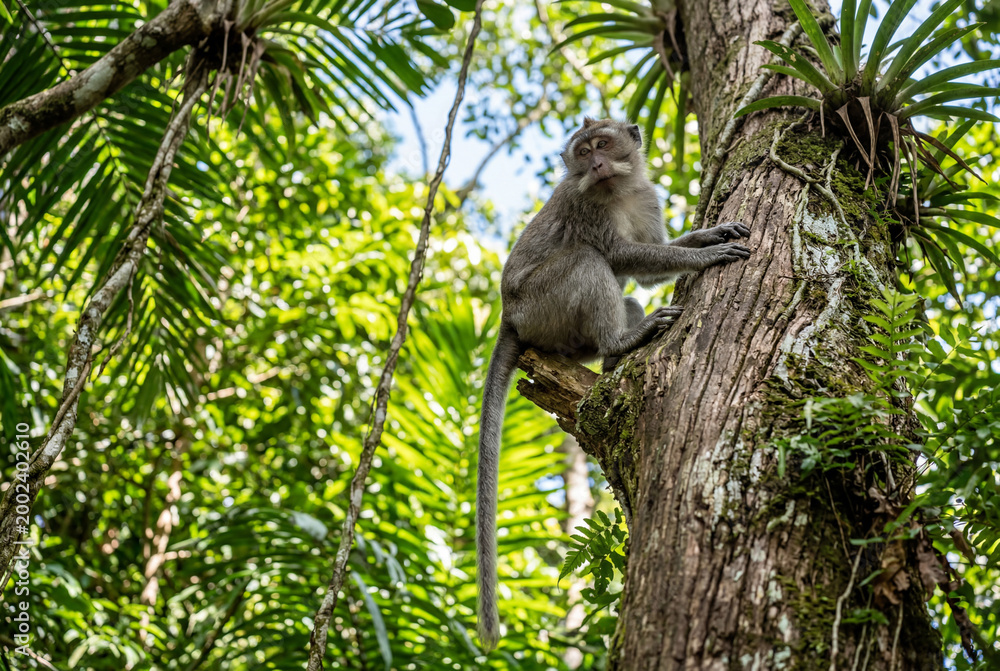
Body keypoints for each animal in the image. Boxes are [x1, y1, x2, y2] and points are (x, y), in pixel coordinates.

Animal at [475, 118, 752, 651]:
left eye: (602, 144)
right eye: (582, 153)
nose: (598, 162)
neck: (617, 190)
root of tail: (508, 316)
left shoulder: (647, 197)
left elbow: (645, 274)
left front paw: (707, 233)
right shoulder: (585, 205)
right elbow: (621, 256)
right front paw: (709, 254)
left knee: (623, 300)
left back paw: (613, 355)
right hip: (540, 305)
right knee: (586, 260)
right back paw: (623, 339)